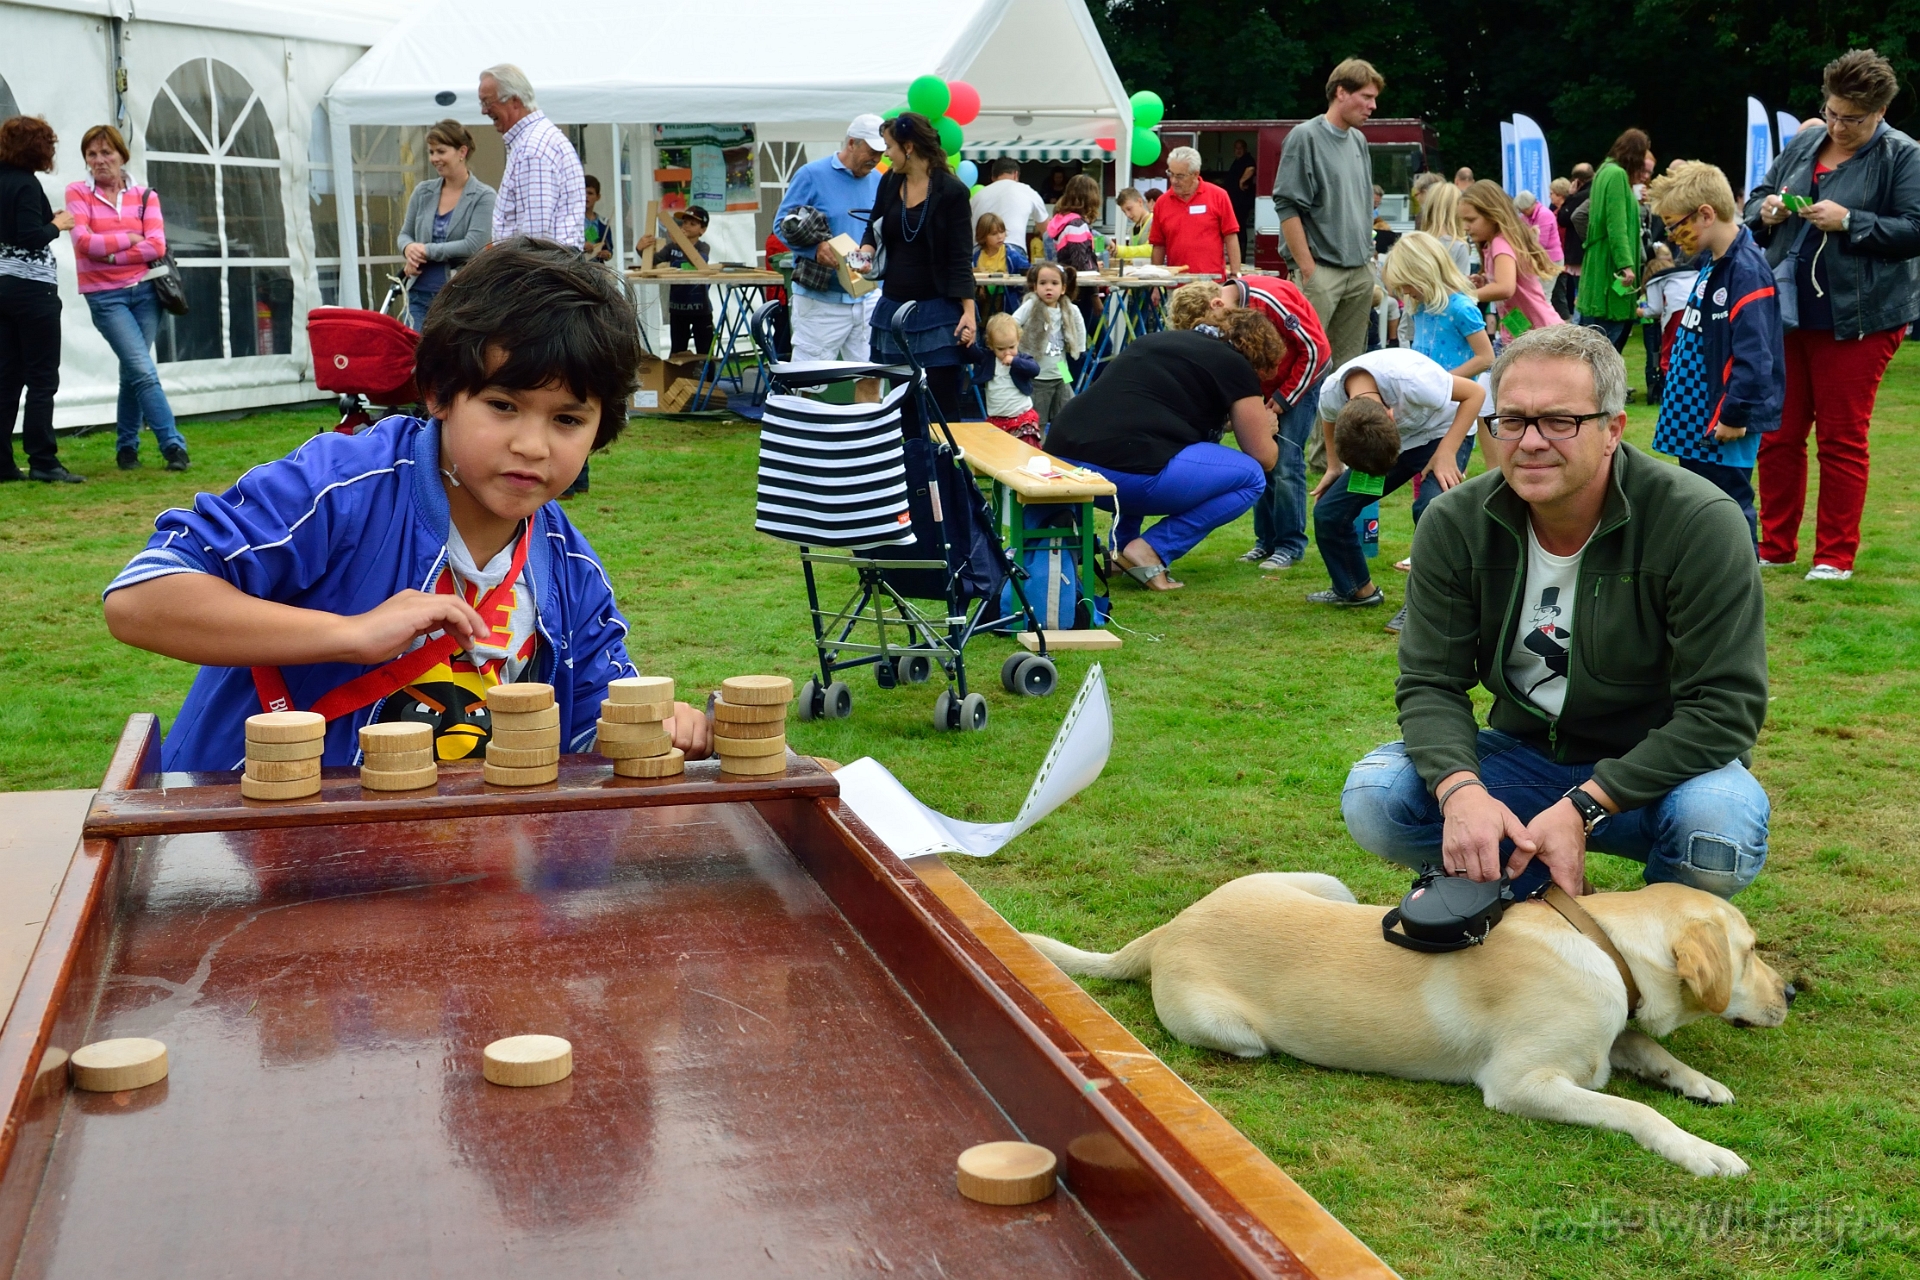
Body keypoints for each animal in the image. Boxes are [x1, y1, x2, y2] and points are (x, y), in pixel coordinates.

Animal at [1029, 875, 1789, 1174]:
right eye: (1751, 952)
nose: (1790, 991)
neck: (1606, 945)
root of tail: (1171, 927)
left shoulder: (1610, 1036)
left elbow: (1646, 1053)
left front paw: (1699, 1083)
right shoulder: (1521, 1085)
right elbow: (1636, 1111)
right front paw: (1703, 1151)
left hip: (1328, 885)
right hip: (1233, 1032)